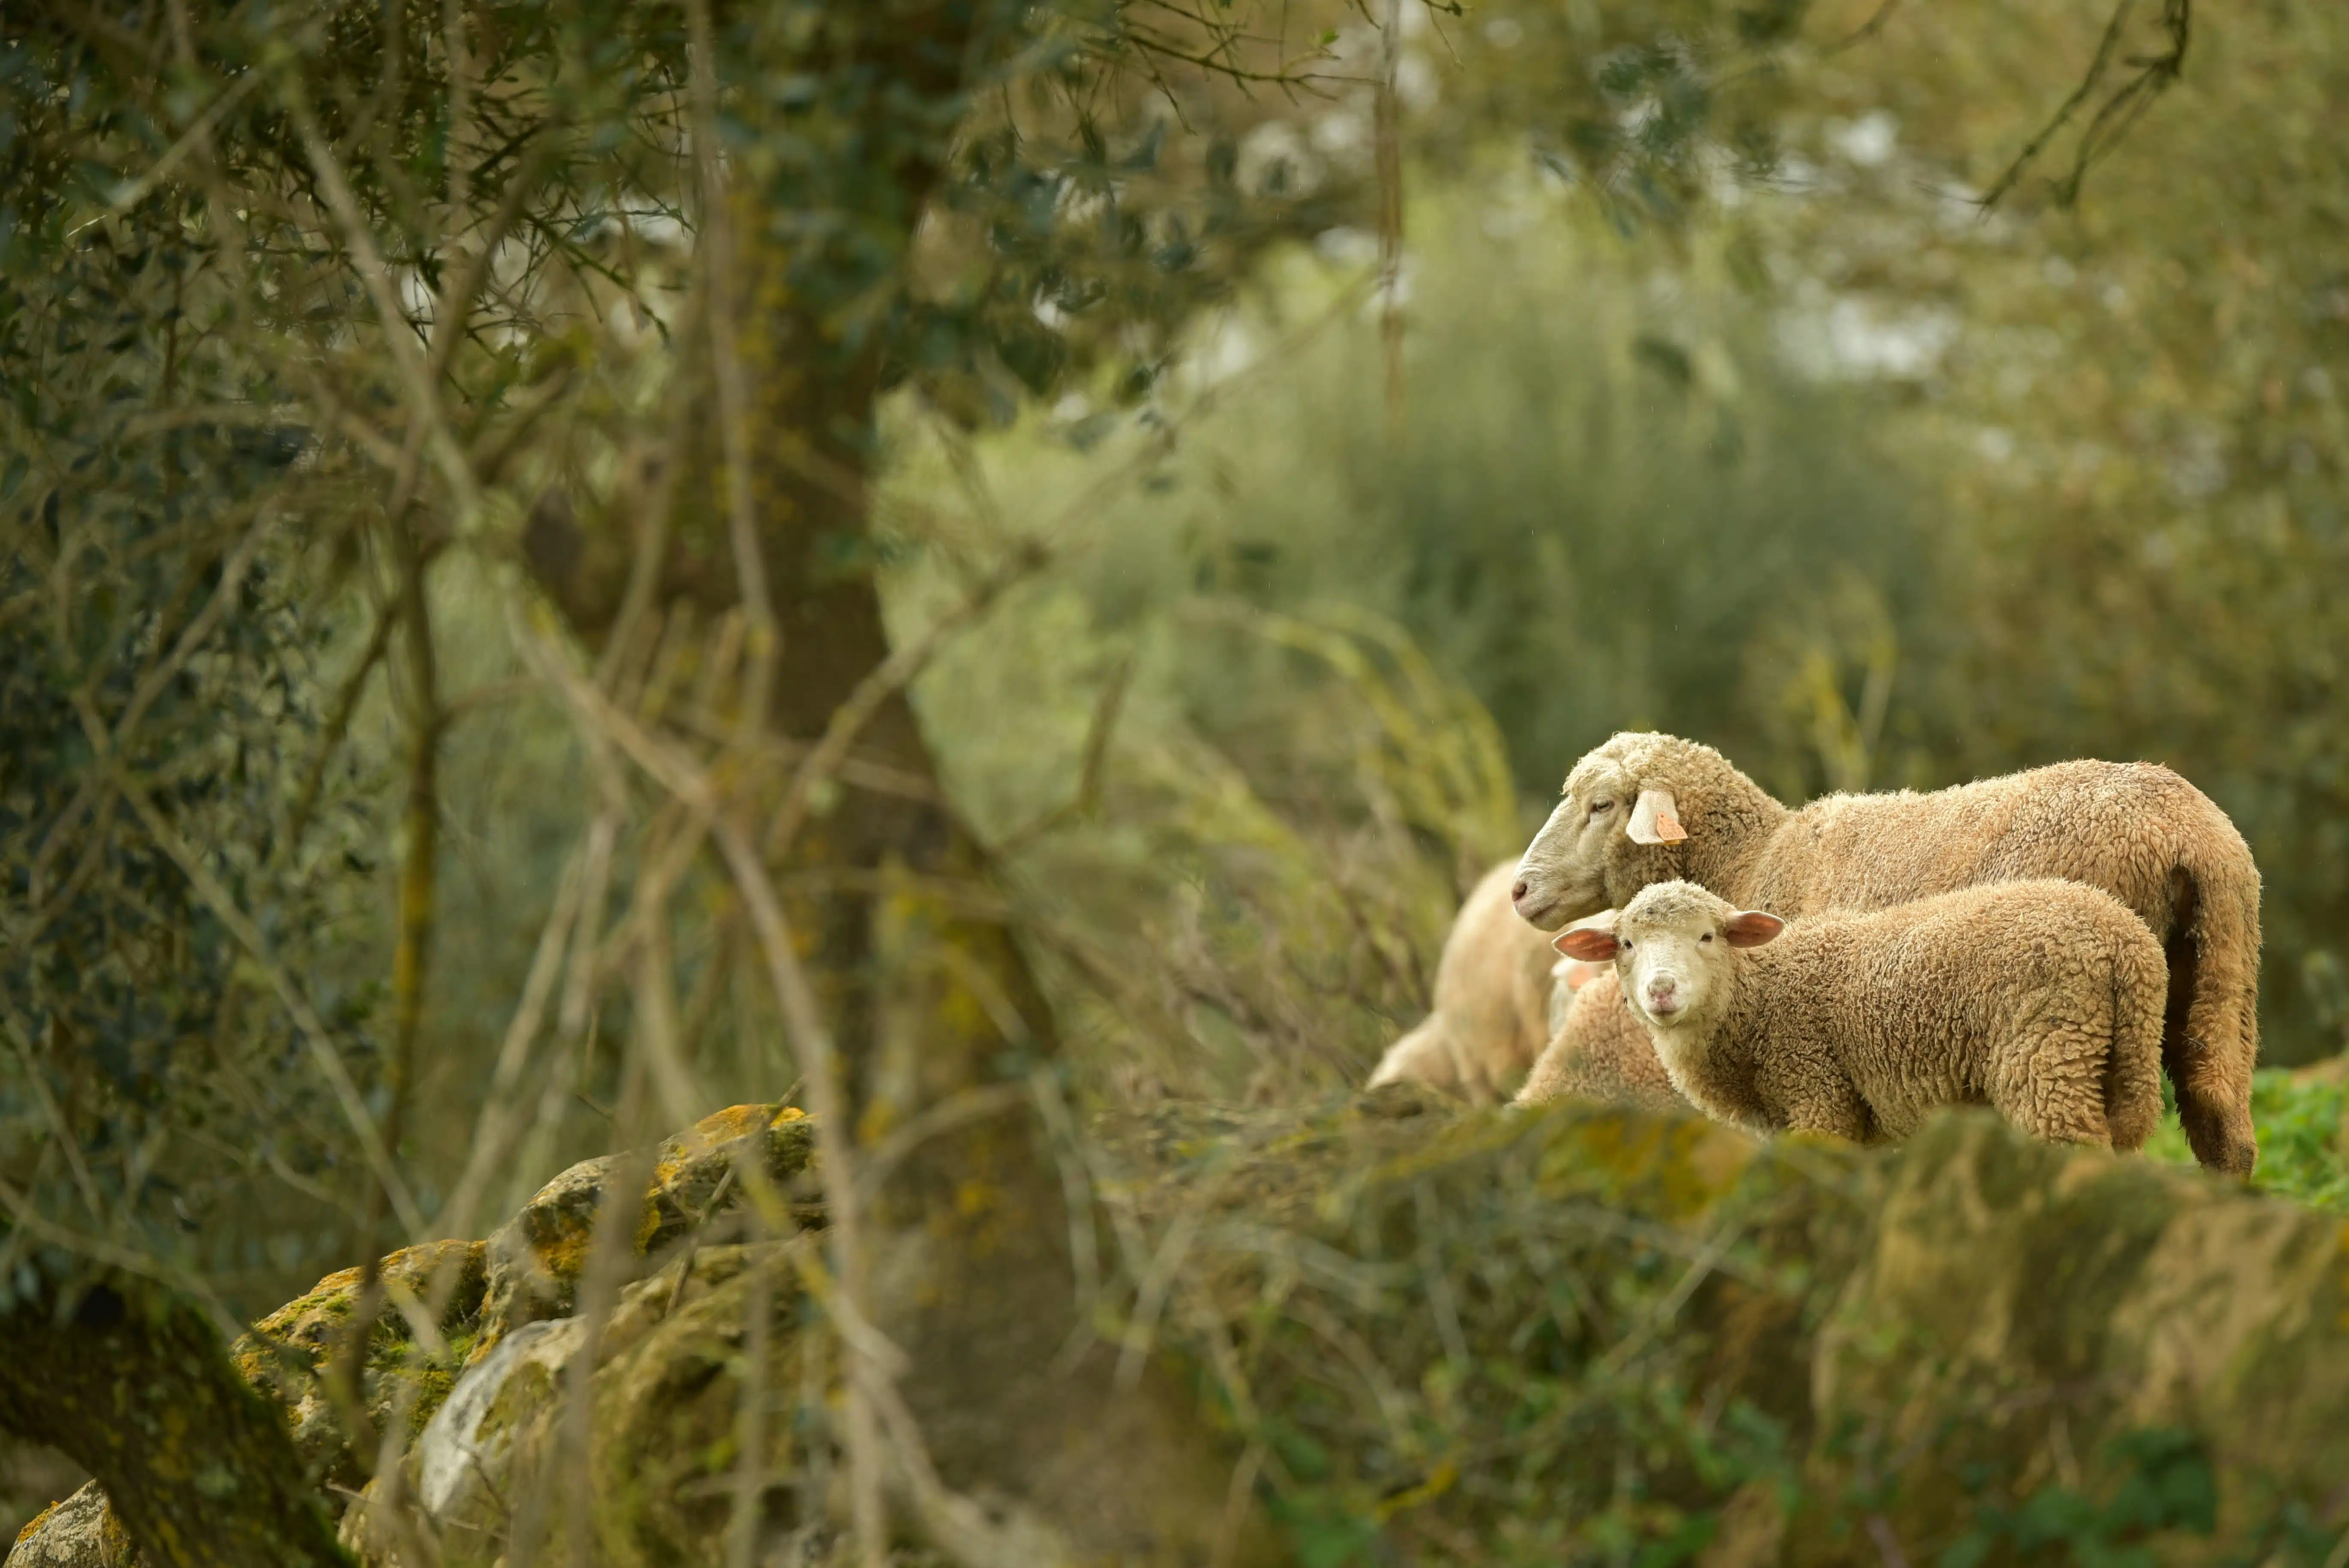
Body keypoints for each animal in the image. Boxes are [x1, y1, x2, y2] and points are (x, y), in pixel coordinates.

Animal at [1553, 879, 2166, 1151]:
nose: (1661, 991)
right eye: (1626, 944)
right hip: (2121, 1061)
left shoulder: (1818, 1092)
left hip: (2045, 1050)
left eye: (1707, 937)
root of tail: (2123, 936)